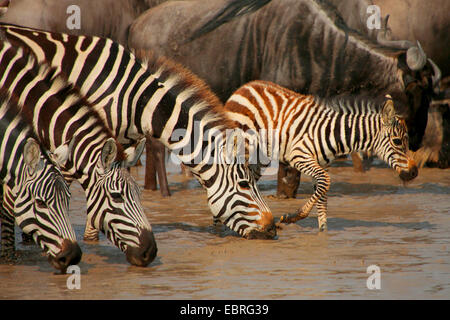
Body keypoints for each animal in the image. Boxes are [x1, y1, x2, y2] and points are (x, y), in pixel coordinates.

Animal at [225, 79, 418, 230]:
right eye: (398, 141)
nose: (414, 172)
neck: (335, 134)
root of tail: (245, 87)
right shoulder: (300, 156)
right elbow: (326, 182)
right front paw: (293, 216)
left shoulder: (322, 164)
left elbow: (322, 198)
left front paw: (322, 234)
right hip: (244, 147)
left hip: (260, 158)